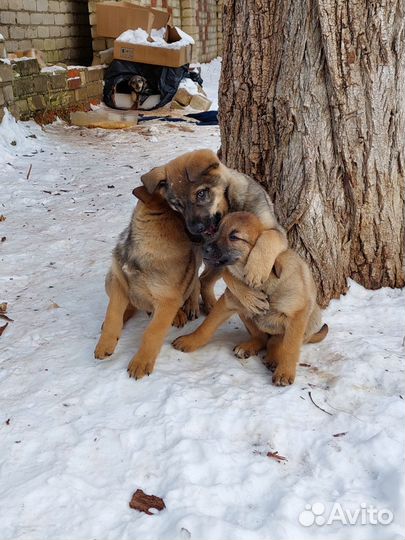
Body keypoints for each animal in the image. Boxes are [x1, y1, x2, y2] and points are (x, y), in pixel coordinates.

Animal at [95, 186, 202, 380]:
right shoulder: (118, 282)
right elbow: (112, 315)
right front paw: (105, 344)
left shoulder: (167, 300)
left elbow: (152, 333)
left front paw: (141, 361)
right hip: (108, 279)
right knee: (130, 307)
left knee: (194, 283)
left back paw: (184, 310)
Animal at [140, 150, 288, 314]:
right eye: (178, 205)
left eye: (201, 194)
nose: (194, 231)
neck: (229, 210)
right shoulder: (219, 256)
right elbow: (230, 276)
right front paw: (248, 297)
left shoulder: (276, 230)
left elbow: (269, 236)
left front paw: (256, 270)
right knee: (198, 279)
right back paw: (194, 303)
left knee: (204, 279)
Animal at [172, 213, 326, 386]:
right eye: (217, 230)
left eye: (234, 237)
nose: (204, 248)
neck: (266, 282)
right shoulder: (227, 302)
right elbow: (206, 326)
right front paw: (190, 341)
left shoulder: (298, 314)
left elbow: (290, 347)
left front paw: (285, 372)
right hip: (245, 312)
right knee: (262, 338)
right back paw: (249, 347)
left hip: (312, 319)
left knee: (277, 341)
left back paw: (274, 358)